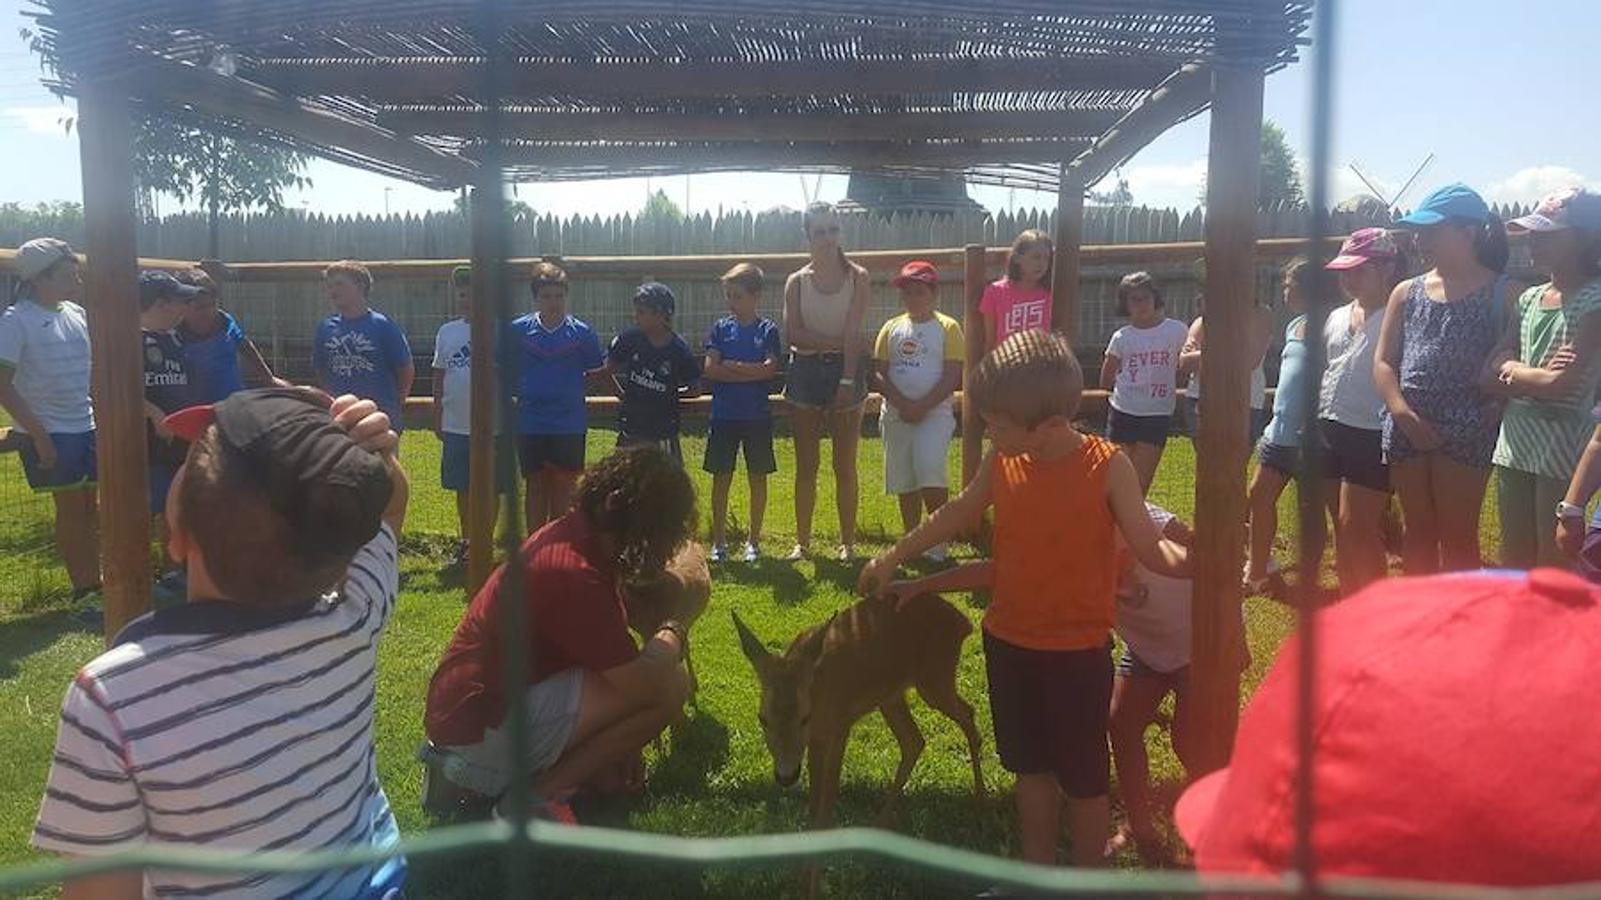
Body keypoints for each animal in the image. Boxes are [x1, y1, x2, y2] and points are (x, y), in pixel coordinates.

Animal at [733, 592, 979, 832]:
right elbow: (814, 789)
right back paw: (882, 821)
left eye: (804, 717)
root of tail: (964, 623)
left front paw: (823, 827)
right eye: (762, 719)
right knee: (914, 741)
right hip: (891, 696)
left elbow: (830, 786)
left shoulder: (841, 724)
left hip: (934, 680)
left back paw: (981, 798)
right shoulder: (816, 736)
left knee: (968, 712)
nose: (786, 776)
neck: (818, 691)